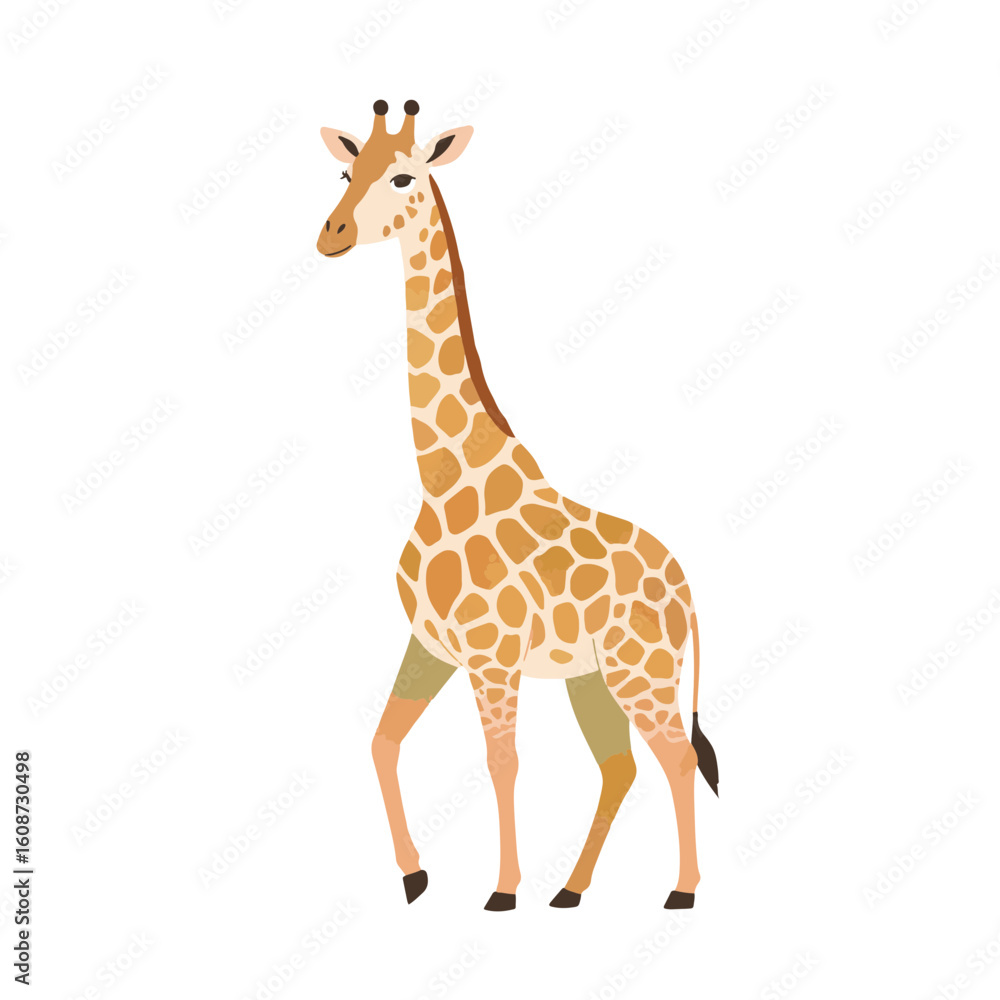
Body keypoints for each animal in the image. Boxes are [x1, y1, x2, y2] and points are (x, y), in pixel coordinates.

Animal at [316, 100, 719, 912]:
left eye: (403, 176)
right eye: (347, 172)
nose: (331, 233)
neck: (444, 477)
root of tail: (687, 588)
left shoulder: (491, 655)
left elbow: (501, 762)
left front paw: (501, 891)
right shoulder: (431, 646)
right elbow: (381, 741)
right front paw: (414, 876)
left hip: (643, 671)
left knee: (676, 757)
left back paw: (682, 892)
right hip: (594, 677)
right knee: (620, 764)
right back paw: (571, 890)